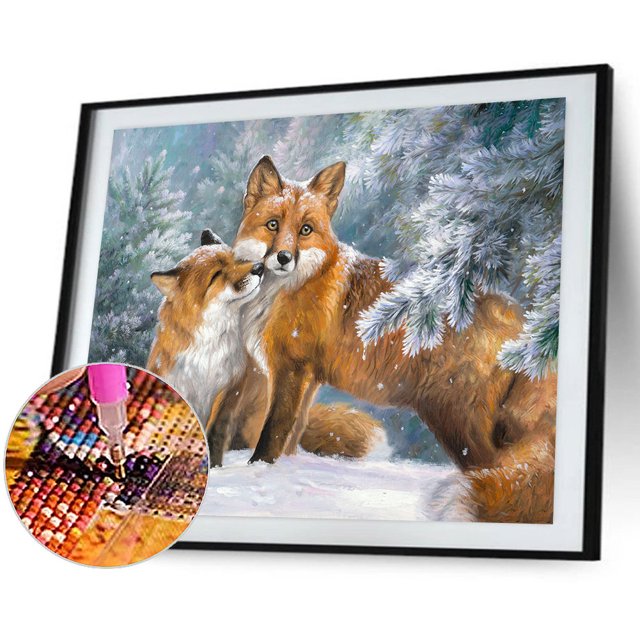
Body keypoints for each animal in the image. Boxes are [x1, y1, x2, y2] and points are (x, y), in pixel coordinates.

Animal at [146, 229, 383, 466]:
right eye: (217, 275)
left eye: (238, 260)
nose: (258, 268)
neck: (207, 353)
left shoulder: (229, 391)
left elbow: (215, 434)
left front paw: (214, 465)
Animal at [230, 155, 557, 523]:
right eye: (272, 225)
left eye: (305, 230)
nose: (284, 258)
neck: (284, 289)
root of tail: (523, 321)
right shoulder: (308, 377)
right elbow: (291, 435)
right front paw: (283, 475)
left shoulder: (291, 368)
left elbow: (271, 434)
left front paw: (257, 472)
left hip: (457, 421)